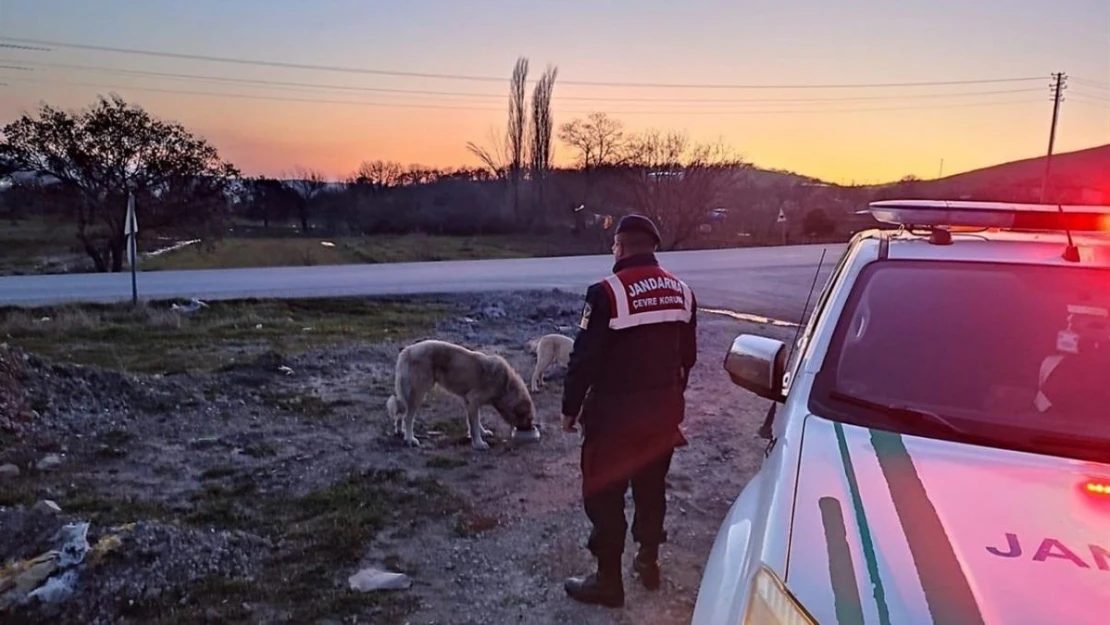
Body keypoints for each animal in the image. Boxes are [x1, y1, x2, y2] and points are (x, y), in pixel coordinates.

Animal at [384, 339, 535, 452]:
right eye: (529, 418)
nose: (531, 429)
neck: (505, 385)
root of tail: (407, 350)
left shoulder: (469, 402)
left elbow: (475, 422)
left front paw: (483, 433)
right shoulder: (474, 400)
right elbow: (474, 426)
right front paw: (479, 444)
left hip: (409, 395)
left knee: (401, 414)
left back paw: (400, 432)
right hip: (418, 394)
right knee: (408, 418)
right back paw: (410, 439)